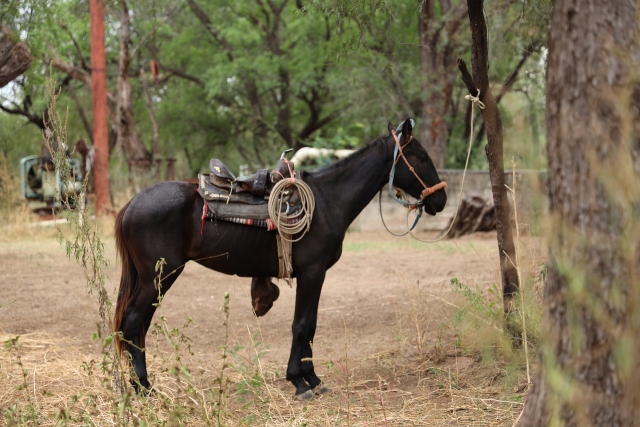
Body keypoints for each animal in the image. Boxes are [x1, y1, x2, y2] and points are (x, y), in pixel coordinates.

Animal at [113, 119, 447, 400]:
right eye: (421, 157)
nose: (441, 199)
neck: (327, 201)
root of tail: (131, 204)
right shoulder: (313, 273)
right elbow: (302, 324)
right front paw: (300, 382)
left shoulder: (314, 276)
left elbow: (309, 325)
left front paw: (312, 379)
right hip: (158, 277)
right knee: (133, 322)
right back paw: (144, 388)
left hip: (155, 280)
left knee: (138, 326)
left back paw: (139, 385)